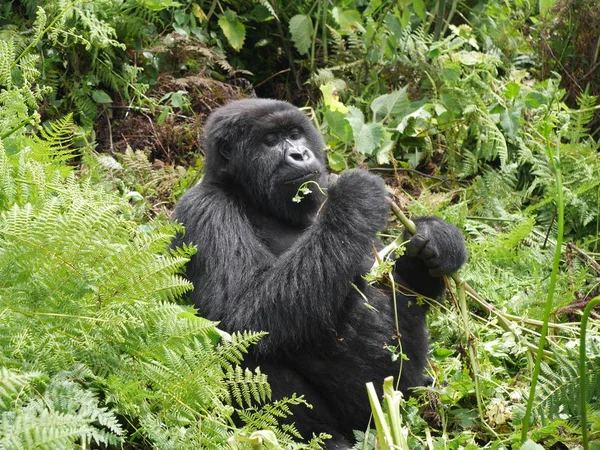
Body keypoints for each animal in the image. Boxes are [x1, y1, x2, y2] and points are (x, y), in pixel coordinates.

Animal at [171, 97, 466, 446]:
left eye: (295, 134)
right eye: (271, 141)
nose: (299, 154)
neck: (253, 199)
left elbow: (403, 288)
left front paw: (435, 239)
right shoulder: (204, 209)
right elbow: (241, 313)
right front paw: (355, 195)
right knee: (240, 349)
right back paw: (329, 439)